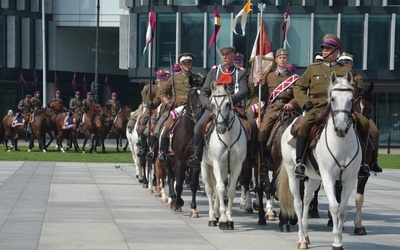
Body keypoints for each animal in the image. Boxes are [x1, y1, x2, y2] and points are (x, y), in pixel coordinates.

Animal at [203, 83, 247, 230]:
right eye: (211, 103)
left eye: (228, 104)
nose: (220, 128)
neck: (227, 137)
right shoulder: (217, 163)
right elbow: (221, 188)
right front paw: (222, 219)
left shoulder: (237, 166)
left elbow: (231, 190)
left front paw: (228, 217)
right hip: (205, 165)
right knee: (210, 189)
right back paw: (212, 217)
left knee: (217, 187)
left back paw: (216, 214)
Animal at [278, 71, 362, 250]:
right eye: (333, 98)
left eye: (351, 99)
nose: (341, 128)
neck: (342, 142)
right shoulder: (329, 177)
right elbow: (334, 207)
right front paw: (336, 241)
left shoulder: (350, 180)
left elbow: (342, 210)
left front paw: (339, 240)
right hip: (293, 173)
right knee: (298, 203)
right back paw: (301, 239)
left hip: (315, 178)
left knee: (307, 199)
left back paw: (306, 235)